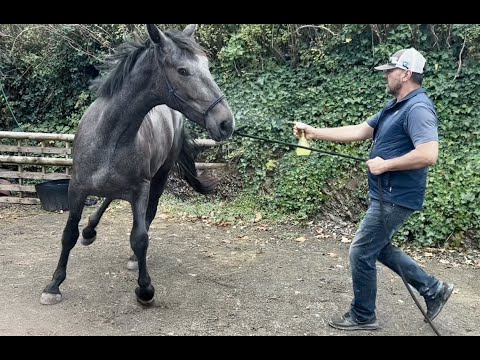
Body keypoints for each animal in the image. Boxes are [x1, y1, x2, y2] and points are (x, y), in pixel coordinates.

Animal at [40, 23, 235, 306]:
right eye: (182, 70)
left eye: (207, 65)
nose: (225, 123)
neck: (109, 135)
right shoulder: (76, 188)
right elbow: (68, 235)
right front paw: (53, 285)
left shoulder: (140, 189)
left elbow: (140, 237)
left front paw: (145, 288)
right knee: (108, 199)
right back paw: (90, 230)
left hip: (159, 177)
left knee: (146, 214)